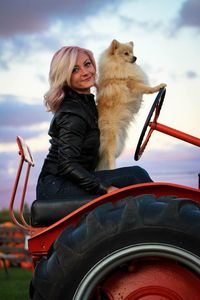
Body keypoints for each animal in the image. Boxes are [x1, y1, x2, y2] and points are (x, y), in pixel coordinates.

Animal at [96, 39, 166, 170]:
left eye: (132, 52)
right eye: (126, 53)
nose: (135, 57)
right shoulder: (133, 84)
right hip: (113, 139)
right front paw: (158, 87)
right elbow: (146, 88)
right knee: (110, 157)